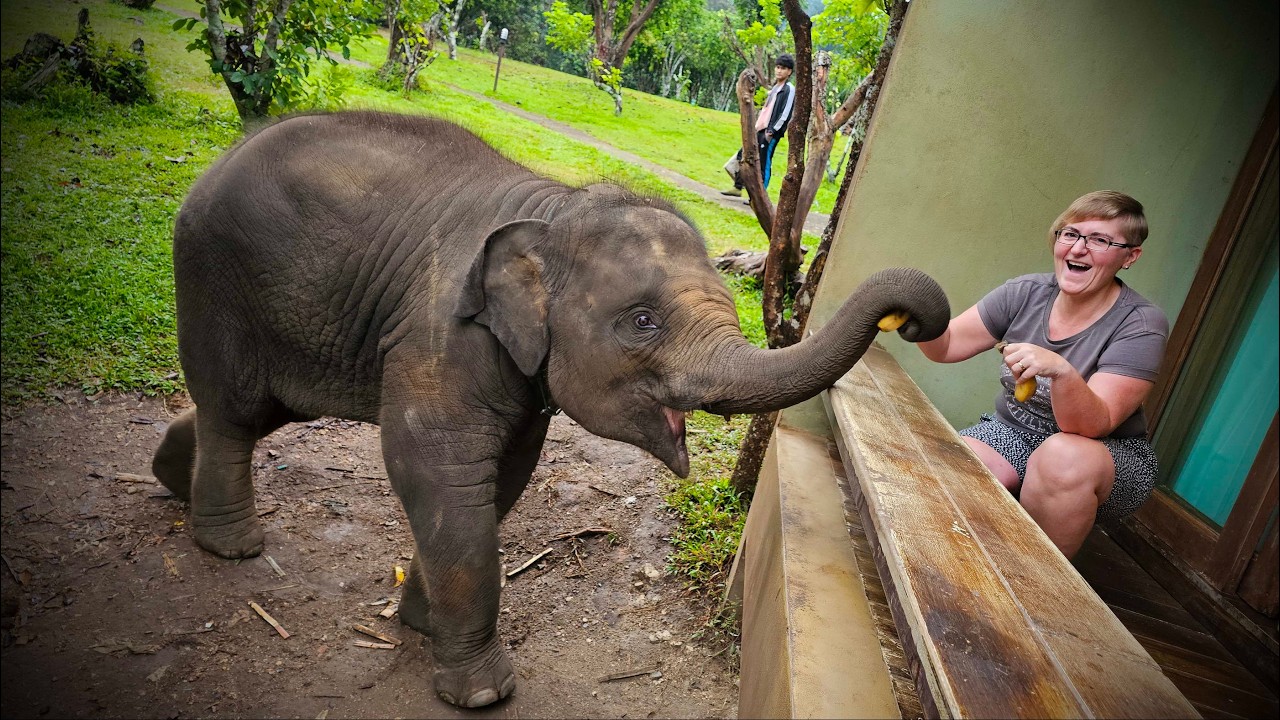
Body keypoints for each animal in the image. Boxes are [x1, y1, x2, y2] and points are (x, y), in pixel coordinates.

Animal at [150, 111, 949, 708]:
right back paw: (231, 546)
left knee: (264, 409)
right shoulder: (442, 331)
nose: (912, 321)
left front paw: (422, 625)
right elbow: (440, 472)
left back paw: (168, 477)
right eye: (642, 323)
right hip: (215, 272)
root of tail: (222, 156)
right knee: (236, 407)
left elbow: (505, 476)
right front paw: (481, 693)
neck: (555, 208)